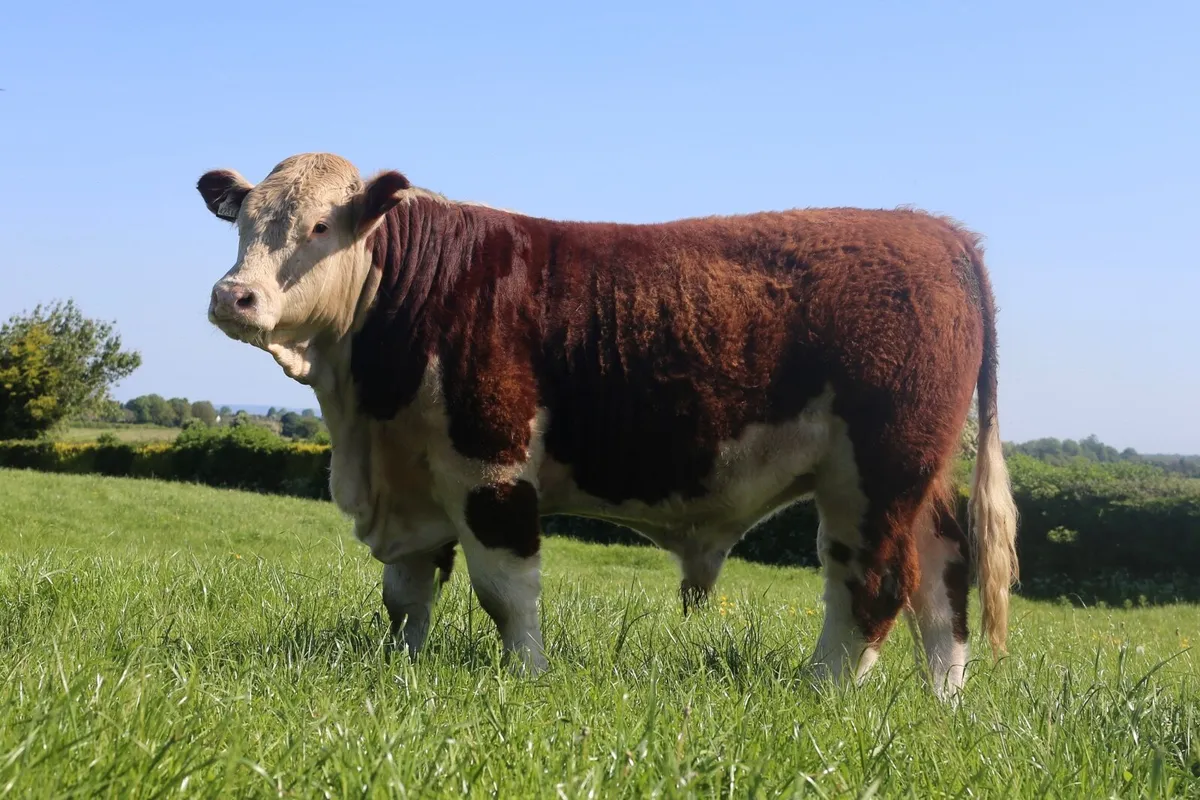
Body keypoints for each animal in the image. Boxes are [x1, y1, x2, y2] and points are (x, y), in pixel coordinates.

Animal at [196, 152, 1018, 698]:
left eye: (320, 225)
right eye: (243, 224)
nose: (232, 296)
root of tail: (936, 232)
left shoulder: (490, 465)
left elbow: (506, 589)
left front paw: (529, 677)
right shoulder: (412, 474)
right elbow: (406, 593)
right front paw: (401, 667)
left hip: (876, 468)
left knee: (873, 581)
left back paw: (821, 694)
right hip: (913, 475)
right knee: (944, 570)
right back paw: (944, 700)